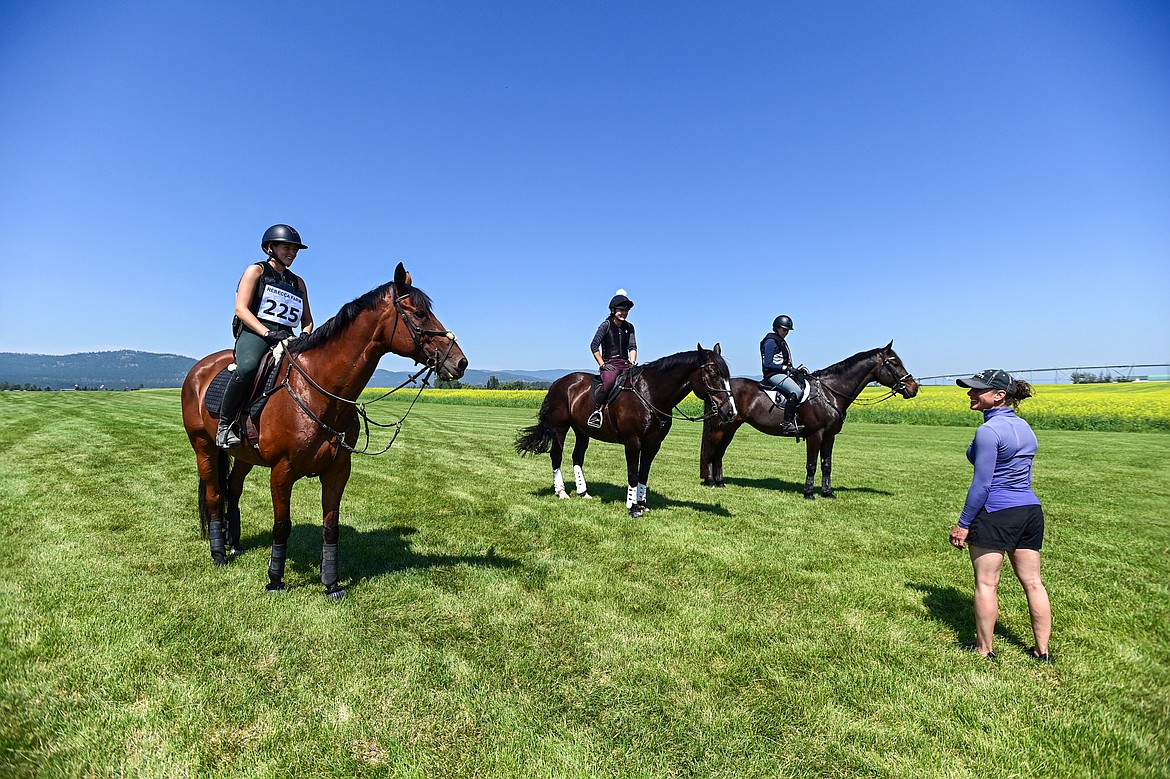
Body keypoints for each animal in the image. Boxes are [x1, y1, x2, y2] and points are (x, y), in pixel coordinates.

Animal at [180, 260, 463, 594]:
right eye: (418, 314)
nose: (460, 362)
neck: (319, 390)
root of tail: (199, 370)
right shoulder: (282, 472)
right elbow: (282, 525)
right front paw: (275, 580)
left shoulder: (337, 470)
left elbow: (331, 527)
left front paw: (331, 584)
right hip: (204, 447)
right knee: (214, 495)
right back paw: (219, 554)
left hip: (246, 456)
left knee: (233, 490)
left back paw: (234, 543)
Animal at [512, 343, 730, 514]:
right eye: (712, 374)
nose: (729, 411)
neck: (650, 394)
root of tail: (558, 383)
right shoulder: (633, 442)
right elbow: (633, 473)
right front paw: (632, 507)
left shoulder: (653, 445)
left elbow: (643, 473)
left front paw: (642, 504)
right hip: (560, 427)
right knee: (556, 455)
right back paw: (562, 492)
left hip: (582, 430)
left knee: (577, 457)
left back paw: (584, 492)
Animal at [697, 339, 917, 498]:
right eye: (894, 363)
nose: (913, 388)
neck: (830, 392)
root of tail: (719, 390)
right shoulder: (815, 435)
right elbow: (812, 465)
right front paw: (809, 493)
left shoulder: (829, 436)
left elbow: (827, 465)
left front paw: (828, 493)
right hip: (721, 428)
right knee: (712, 450)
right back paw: (710, 482)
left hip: (731, 428)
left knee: (719, 453)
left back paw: (720, 482)